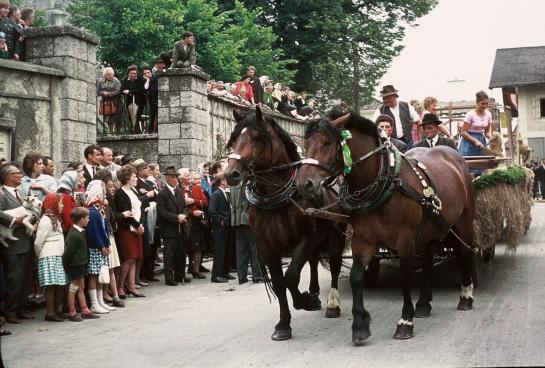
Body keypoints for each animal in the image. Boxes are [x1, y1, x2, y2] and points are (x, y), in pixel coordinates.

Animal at [224, 109, 344, 342]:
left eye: (256, 137)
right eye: (234, 139)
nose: (230, 174)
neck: (276, 199)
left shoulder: (305, 240)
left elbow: (291, 277)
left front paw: (305, 302)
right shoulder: (267, 247)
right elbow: (280, 284)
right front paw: (283, 324)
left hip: (336, 238)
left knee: (334, 266)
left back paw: (332, 304)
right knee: (314, 262)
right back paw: (314, 291)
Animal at [298, 113, 476, 344]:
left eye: (327, 143)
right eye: (305, 143)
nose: (304, 184)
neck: (384, 178)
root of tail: (454, 156)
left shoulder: (405, 239)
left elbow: (405, 277)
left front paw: (405, 322)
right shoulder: (363, 240)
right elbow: (356, 277)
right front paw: (360, 324)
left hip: (463, 221)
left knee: (464, 252)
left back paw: (466, 295)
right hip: (428, 231)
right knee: (428, 261)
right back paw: (423, 304)